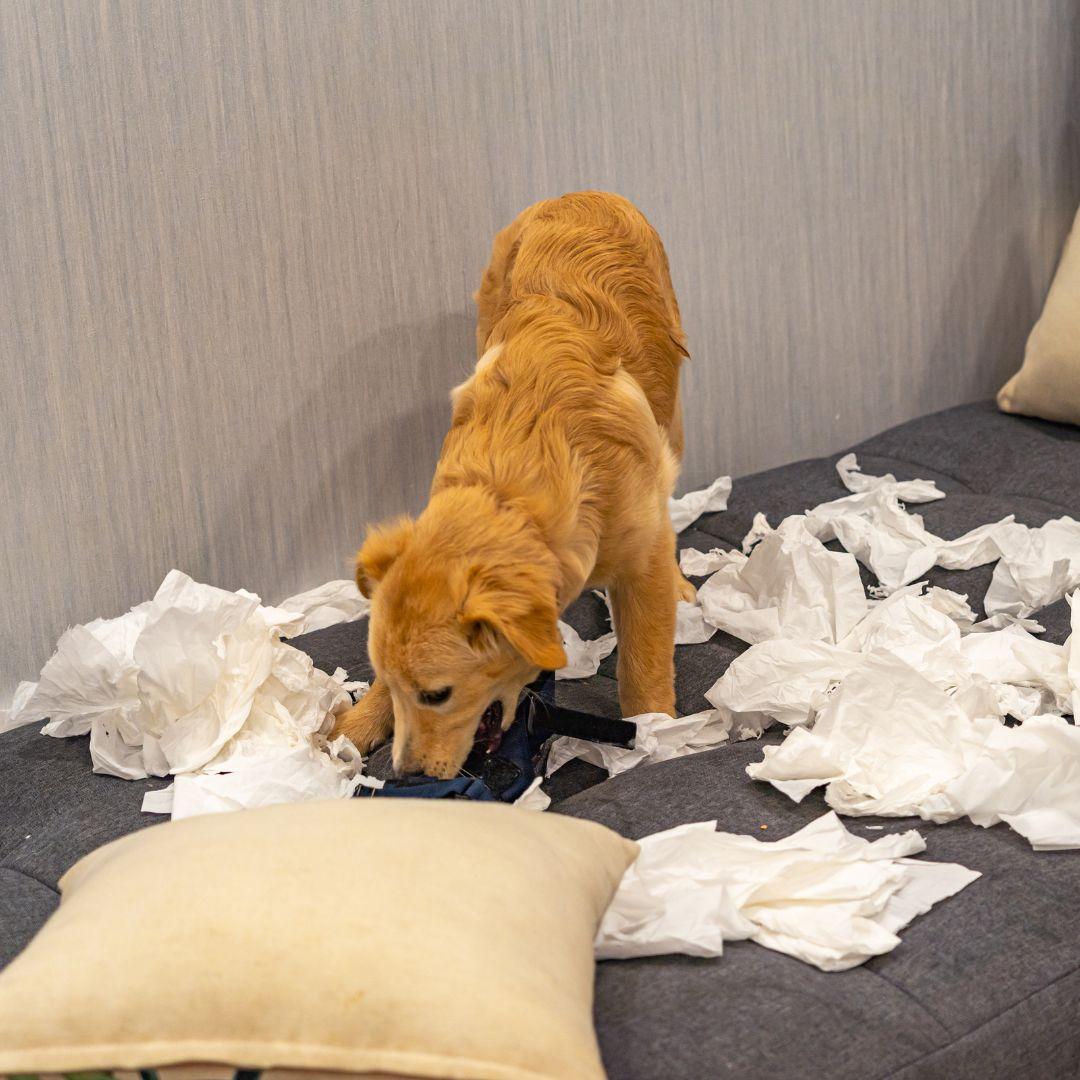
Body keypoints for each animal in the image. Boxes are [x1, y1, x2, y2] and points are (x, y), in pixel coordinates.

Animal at [332, 192, 695, 777]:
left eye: (438, 695)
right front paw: (359, 723)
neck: (512, 486)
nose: (406, 775)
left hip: (672, 418)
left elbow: (644, 667)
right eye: (389, 681)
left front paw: (657, 735)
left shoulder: (641, 564)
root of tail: (580, 194)